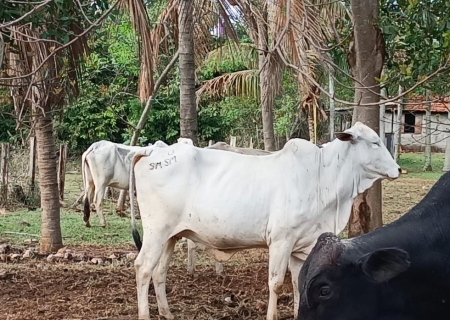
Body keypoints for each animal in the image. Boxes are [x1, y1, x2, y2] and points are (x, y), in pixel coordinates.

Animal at [130, 122, 400, 320]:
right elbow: (276, 283)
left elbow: (299, 282)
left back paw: (166, 313)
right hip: (156, 231)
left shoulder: (301, 245)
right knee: (143, 268)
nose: (397, 169)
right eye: (375, 142)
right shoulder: (281, 241)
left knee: (159, 272)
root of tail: (151, 151)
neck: (322, 176)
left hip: (171, 236)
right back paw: (145, 315)